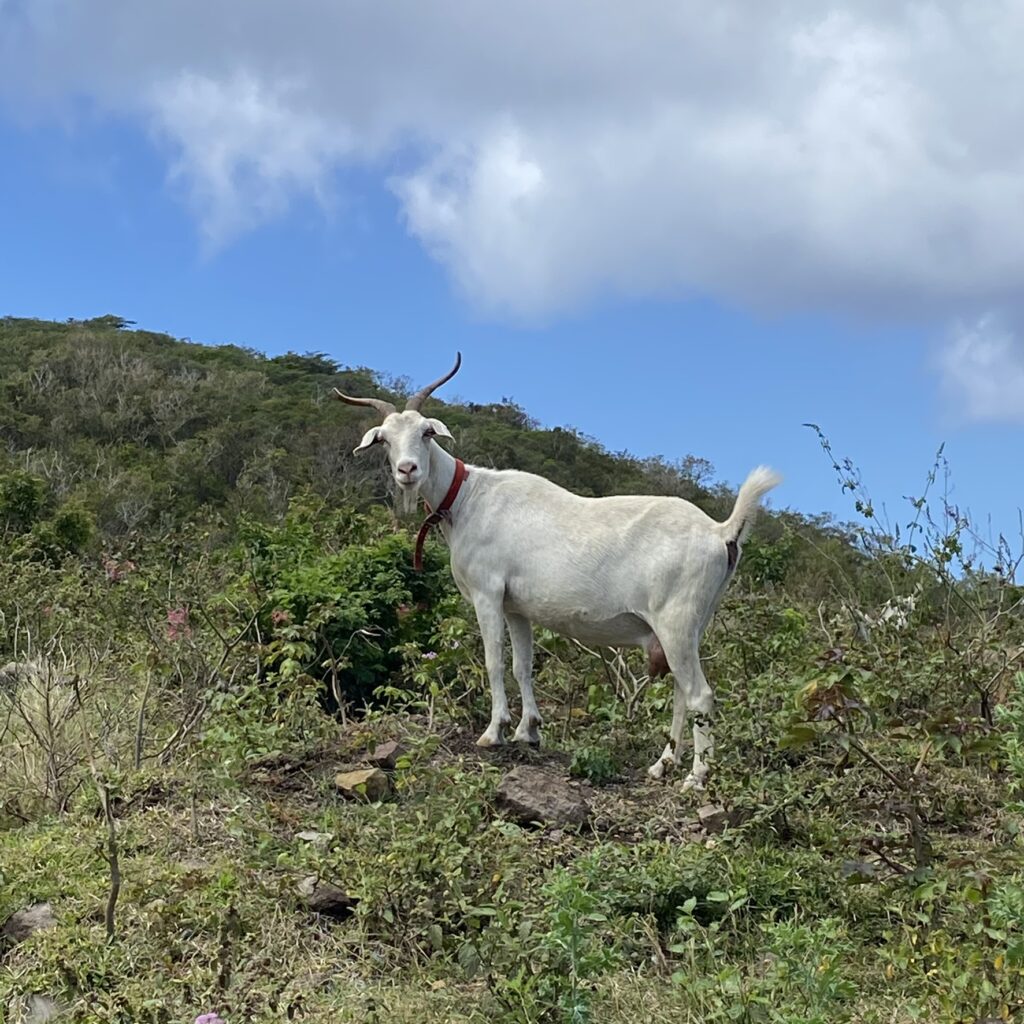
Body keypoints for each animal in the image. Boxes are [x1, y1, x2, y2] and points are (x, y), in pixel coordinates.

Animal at [333, 356, 774, 786]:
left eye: (426, 432)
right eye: (385, 440)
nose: (407, 470)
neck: (468, 498)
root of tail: (720, 531)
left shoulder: (487, 592)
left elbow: (493, 660)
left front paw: (493, 731)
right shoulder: (516, 607)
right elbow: (521, 665)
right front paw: (528, 730)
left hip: (676, 619)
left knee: (699, 694)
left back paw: (696, 777)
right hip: (692, 623)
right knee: (684, 692)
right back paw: (662, 765)